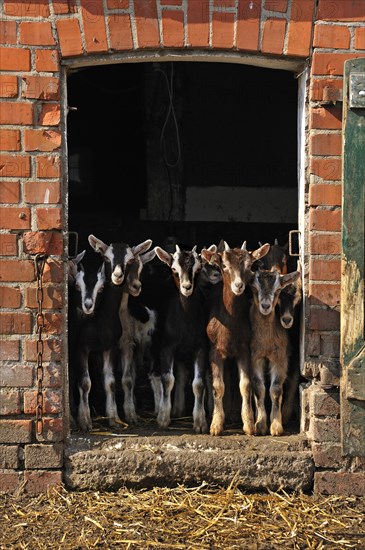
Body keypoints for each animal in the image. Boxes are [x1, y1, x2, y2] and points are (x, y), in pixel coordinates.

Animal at [150, 246, 208, 436]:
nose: (187, 287)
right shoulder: (167, 346)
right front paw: (163, 418)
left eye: (198, 270)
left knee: (182, 373)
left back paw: (178, 408)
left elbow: (198, 383)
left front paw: (200, 422)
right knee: (155, 374)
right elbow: (168, 379)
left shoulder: (201, 347)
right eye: (174, 270)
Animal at [199, 244, 270, 438]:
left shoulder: (244, 349)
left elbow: (245, 385)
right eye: (223, 265)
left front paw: (249, 424)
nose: (238, 285)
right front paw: (216, 424)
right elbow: (218, 385)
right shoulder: (214, 349)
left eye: (250, 266)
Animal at [249, 270, 300, 438]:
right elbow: (259, 387)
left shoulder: (280, 357)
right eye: (254, 288)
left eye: (277, 290)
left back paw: (286, 413)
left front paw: (276, 425)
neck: (266, 339)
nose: (265, 306)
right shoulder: (255, 356)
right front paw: (260, 425)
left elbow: (276, 388)